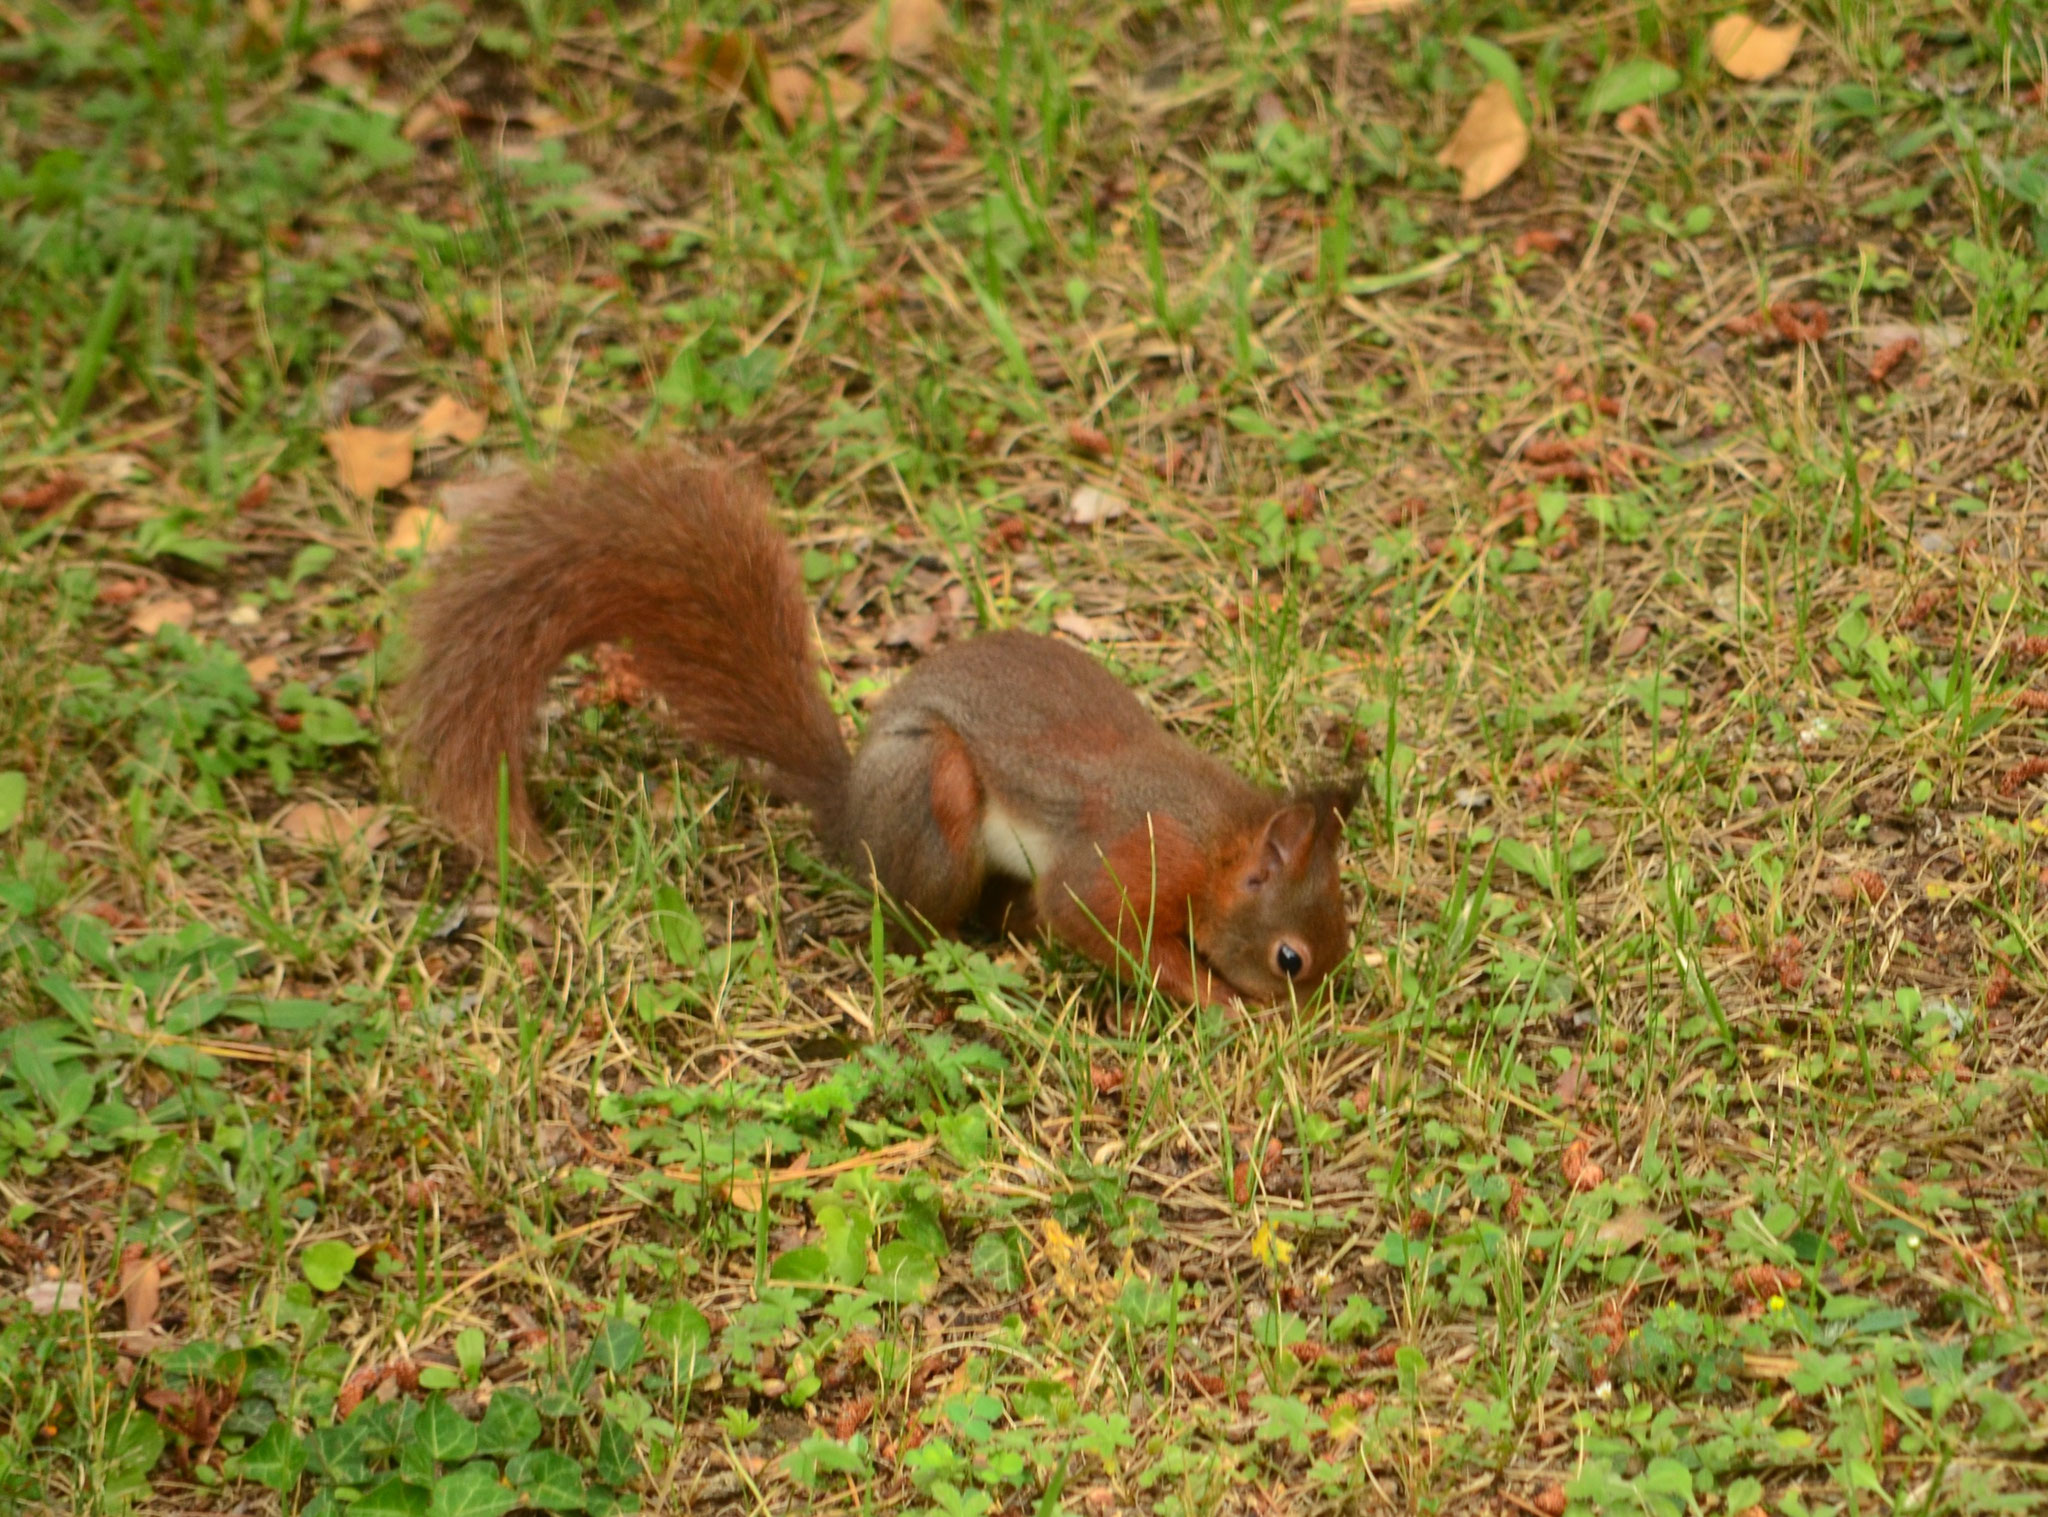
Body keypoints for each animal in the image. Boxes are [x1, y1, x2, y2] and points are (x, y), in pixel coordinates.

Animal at [399, 446, 1359, 1007]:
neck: (1221, 833)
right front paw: (1210, 997)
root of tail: (850, 813)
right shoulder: (1137, 852)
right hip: (933, 792)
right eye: (1290, 958)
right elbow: (1086, 916)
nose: (1303, 1020)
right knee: (914, 923)